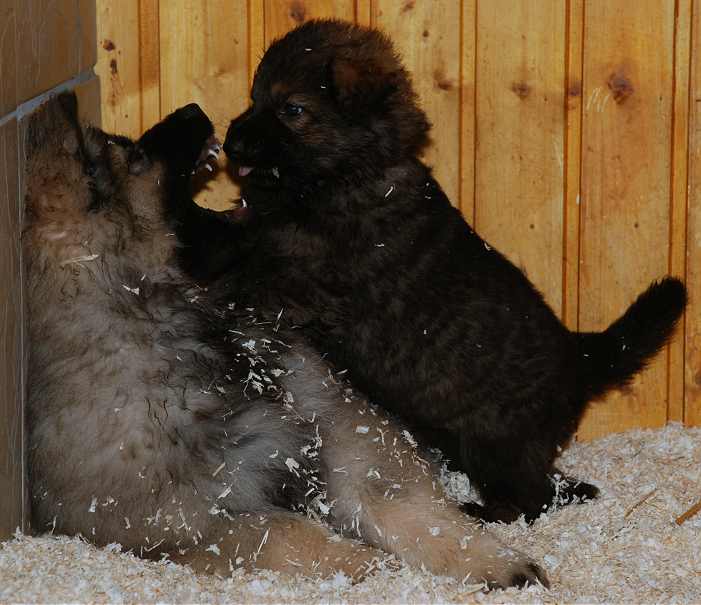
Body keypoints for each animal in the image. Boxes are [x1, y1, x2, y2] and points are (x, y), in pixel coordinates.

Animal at [23, 92, 547, 589]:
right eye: (135, 155)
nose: (194, 109)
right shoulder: (194, 523)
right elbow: (287, 532)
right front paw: (365, 563)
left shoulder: (337, 434)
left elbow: (405, 507)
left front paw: (490, 560)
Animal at [218, 19, 687, 523]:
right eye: (254, 98)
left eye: (293, 109)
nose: (230, 144)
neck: (354, 172)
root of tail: (578, 356)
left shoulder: (304, 284)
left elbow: (250, 274)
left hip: (497, 445)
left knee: (531, 499)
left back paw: (479, 511)